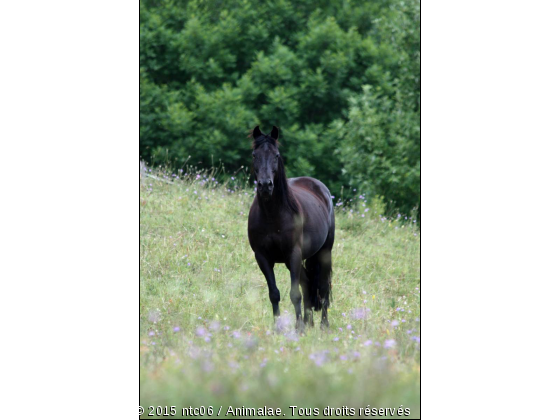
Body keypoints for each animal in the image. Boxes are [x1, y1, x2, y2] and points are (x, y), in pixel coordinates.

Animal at [247, 126, 334, 330]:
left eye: (276, 155)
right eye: (254, 155)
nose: (265, 185)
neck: (272, 216)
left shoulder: (293, 254)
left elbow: (295, 294)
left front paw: (299, 328)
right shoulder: (263, 257)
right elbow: (274, 294)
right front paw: (280, 328)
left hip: (324, 252)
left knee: (323, 288)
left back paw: (323, 325)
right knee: (307, 283)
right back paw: (309, 322)